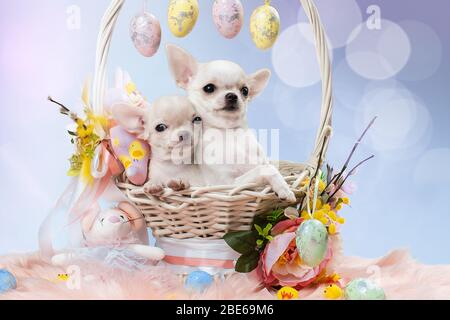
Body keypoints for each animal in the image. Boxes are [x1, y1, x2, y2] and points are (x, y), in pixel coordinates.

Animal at [167, 44, 298, 202]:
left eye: (245, 90)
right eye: (208, 88)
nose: (232, 95)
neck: (228, 132)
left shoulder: (259, 162)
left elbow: (270, 167)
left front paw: (284, 187)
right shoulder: (226, 185)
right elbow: (265, 169)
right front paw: (283, 188)